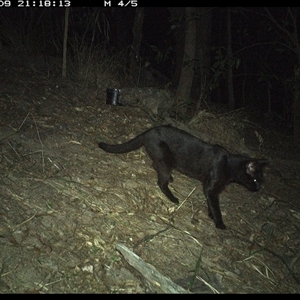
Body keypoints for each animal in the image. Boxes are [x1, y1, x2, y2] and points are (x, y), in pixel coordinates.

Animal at [98, 125, 268, 229]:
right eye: (255, 179)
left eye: (260, 180)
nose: (258, 188)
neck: (229, 165)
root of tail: (149, 131)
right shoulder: (211, 187)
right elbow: (215, 206)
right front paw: (219, 223)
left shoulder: (210, 188)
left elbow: (210, 203)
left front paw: (210, 215)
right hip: (165, 160)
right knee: (161, 182)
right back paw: (173, 198)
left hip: (164, 161)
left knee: (156, 167)